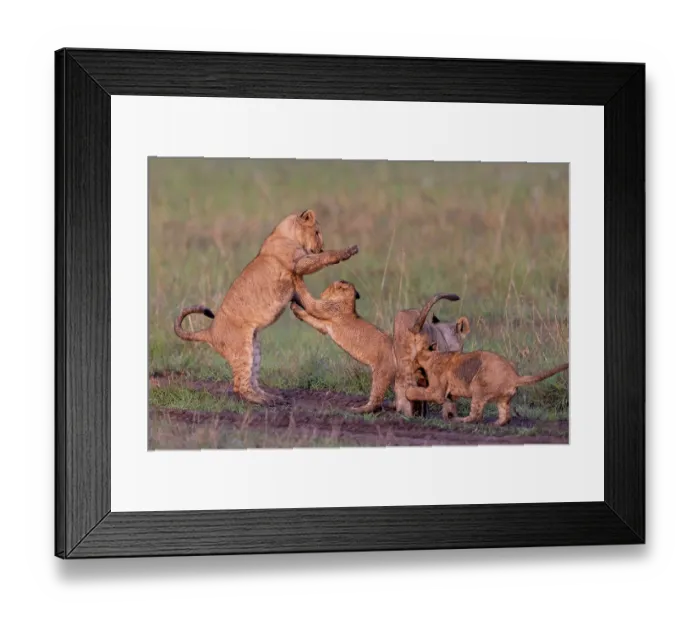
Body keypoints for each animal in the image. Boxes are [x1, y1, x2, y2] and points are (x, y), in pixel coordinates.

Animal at [174, 210, 359, 405]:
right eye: (316, 232)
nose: (321, 247)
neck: (285, 234)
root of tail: (209, 331)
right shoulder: (299, 263)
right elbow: (323, 258)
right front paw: (348, 251)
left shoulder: (296, 280)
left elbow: (308, 301)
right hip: (242, 349)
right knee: (239, 385)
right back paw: (263, 400)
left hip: (255, 348)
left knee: (251, 377)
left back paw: (270, 396)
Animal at [289, 277, 395, 413]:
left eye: (329, 287)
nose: (322, 293)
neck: (348, 302)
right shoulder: (324, 325)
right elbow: (312, 320)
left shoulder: (327, 309)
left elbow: (311, 306)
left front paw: (294, 301)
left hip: (381, 372)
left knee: (376, 399)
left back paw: (358, 409)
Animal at [405, 306, 569, 426]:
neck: (432, 355)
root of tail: (514, 376)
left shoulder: (437, 390)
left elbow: (421, 393)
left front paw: (409, 392)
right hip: (503, 399)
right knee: (505, 417)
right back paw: (495, 423)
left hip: (478, 386)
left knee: (476, 416)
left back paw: (458, 420)